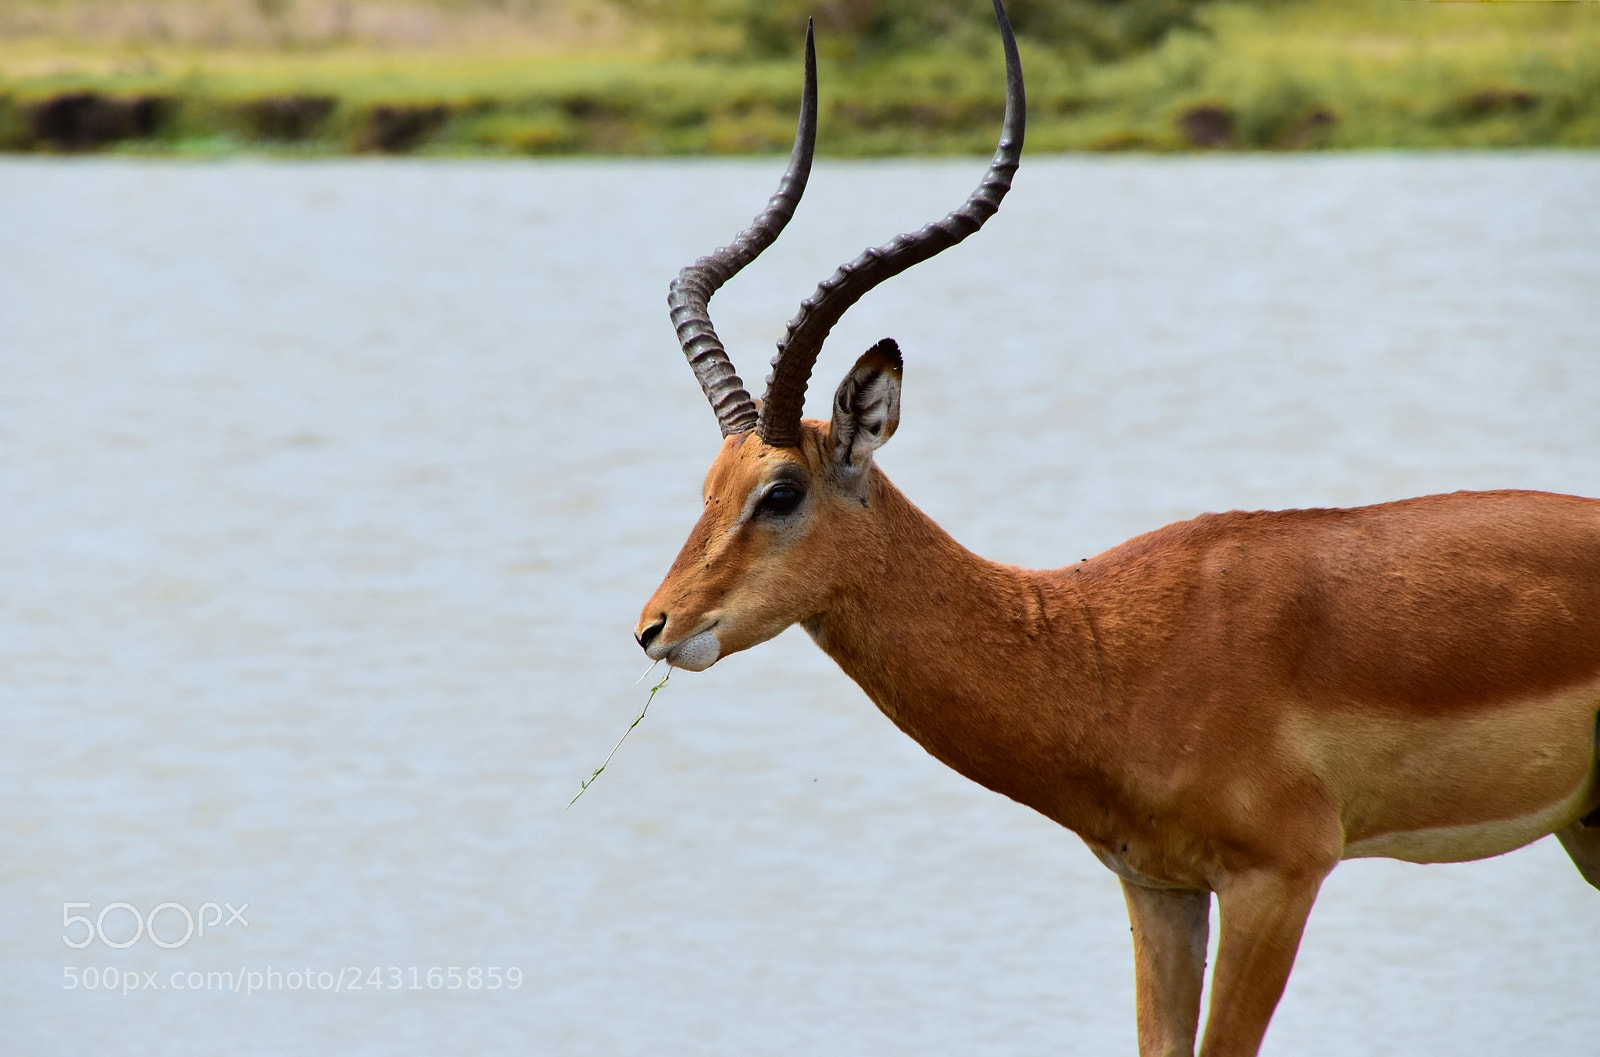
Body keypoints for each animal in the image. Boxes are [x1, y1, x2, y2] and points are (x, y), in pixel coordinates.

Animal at [633, 3, 1600, 1054]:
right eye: (709, 484)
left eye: (780, 492)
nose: (654, 627)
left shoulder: (1278, 879)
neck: (1100, 653)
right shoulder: (1157, 886)